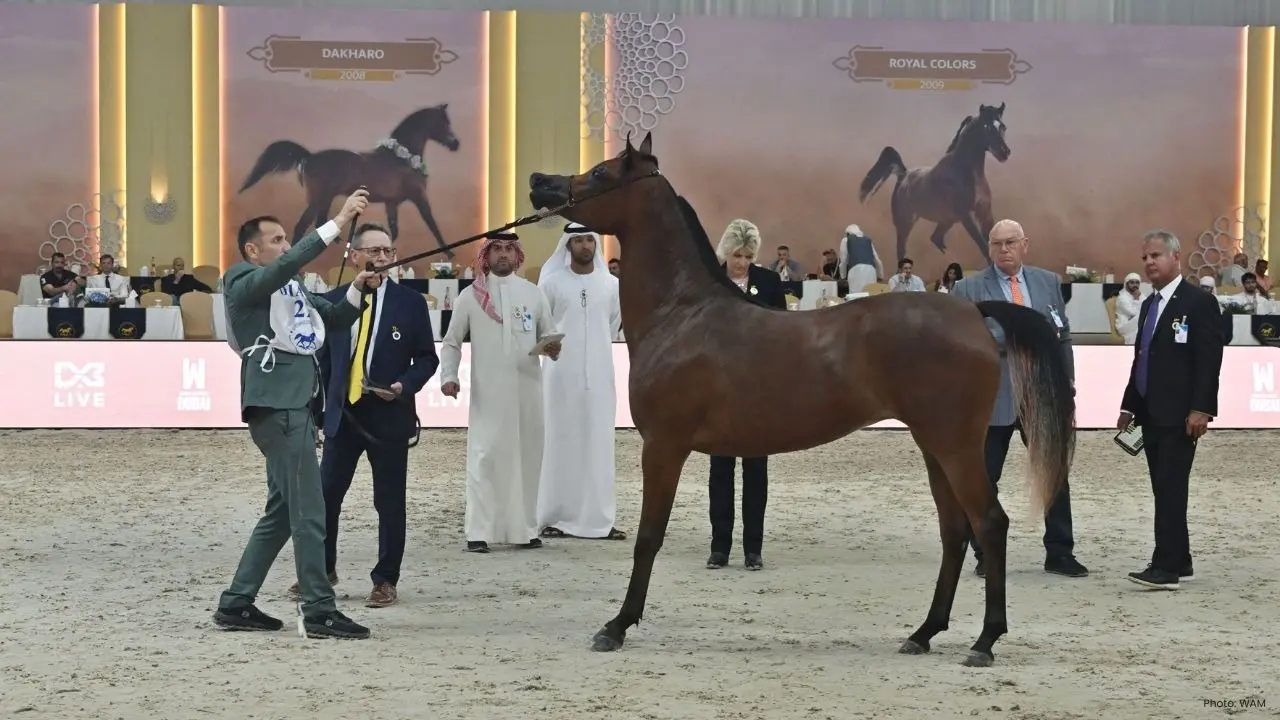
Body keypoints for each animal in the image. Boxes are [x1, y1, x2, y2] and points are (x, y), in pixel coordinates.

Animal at [238, 103, 461, 257]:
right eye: (442, 123)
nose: (455, 144)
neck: (401, 158)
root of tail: (309, 157)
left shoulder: (391, 203)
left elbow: (393, 230)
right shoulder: (419, 197)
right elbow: (432, 223)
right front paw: (450, 254)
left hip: (322, 199)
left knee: (317, 222)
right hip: (320, 199)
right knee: (305, 225)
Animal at [528, 131, 1075, 668]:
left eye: (601, 172)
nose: (538, 182)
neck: (682, 315)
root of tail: (971, 311)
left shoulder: (663, 446)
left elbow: (648, 537)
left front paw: (617, 626)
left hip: (955, 446)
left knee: (990, 523)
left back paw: (985, 640)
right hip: (934, 447)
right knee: (955, 530)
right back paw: (923, 633)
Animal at [859, 102, 1010, 264]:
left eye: (1003, 126)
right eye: (986, 126)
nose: (1004, 152)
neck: (964, 172)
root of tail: (903, 175)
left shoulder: (984, 212)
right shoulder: (965, 215)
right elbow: (984, 247)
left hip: (946, 220)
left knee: (935, 238)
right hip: (904, 224)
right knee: (902, 251)